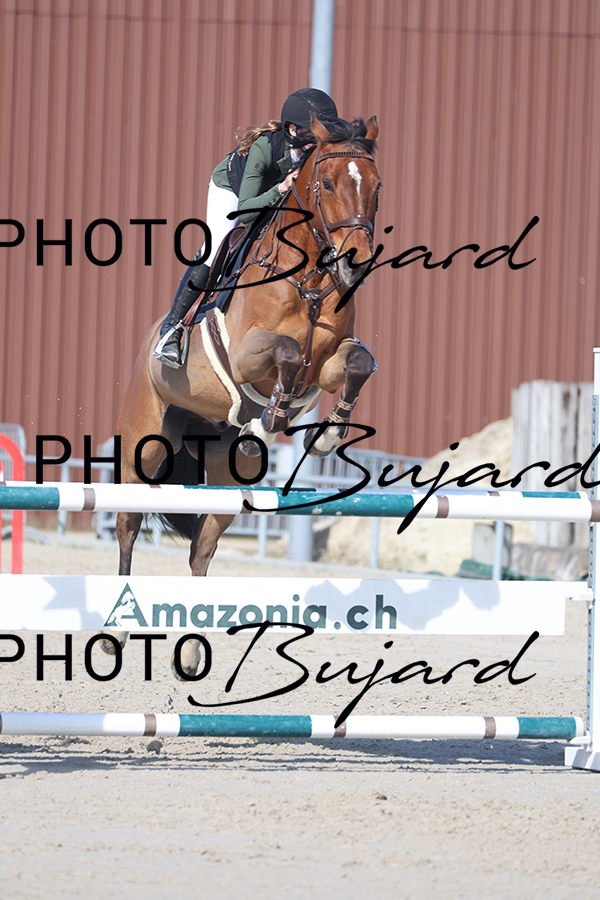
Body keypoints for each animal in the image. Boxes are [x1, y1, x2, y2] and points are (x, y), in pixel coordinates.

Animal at [109, 115, 381, 675]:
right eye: (326, 184)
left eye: (377, 186)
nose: (356, 265)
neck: (311, 276)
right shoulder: (244, 355)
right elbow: (287, 353)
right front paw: (274, 412)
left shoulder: (329, 364)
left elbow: (357, 362)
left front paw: (326, 435)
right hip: (142, 449)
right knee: (127, 525)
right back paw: (114, 635)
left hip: (226, 473)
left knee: (202, 548)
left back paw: (193, 650)